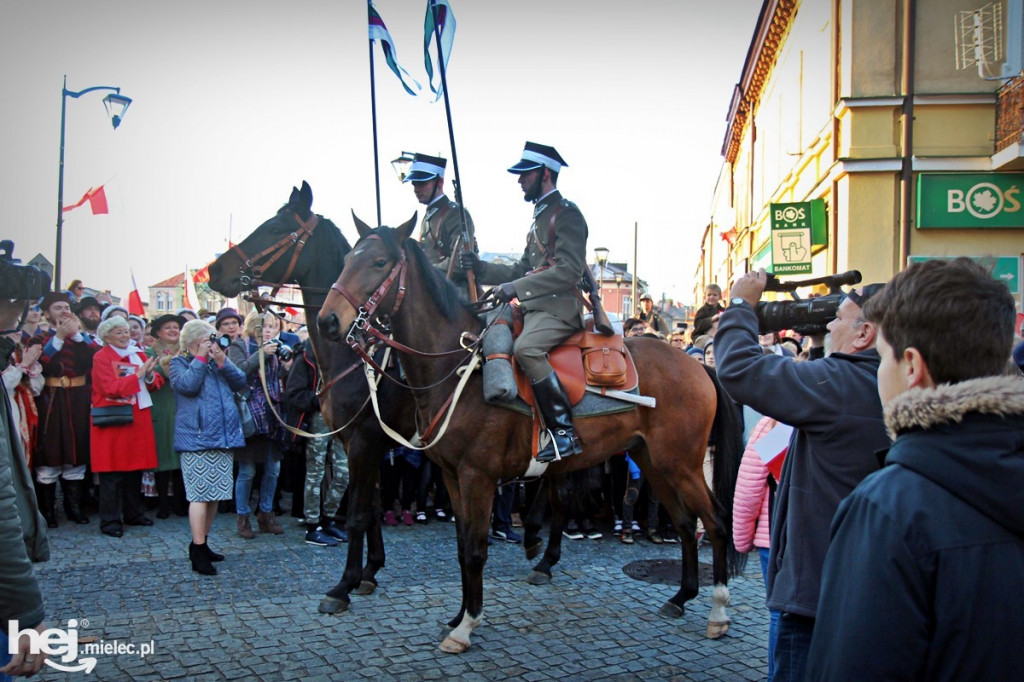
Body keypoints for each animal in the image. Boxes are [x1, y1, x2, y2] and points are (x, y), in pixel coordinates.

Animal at [205, 180, 413, 610]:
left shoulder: (364, 442)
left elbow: (358, 511)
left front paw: (346, 583)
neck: (354, 351)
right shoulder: (361, 443)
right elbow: (369, 506)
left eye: (274, 227)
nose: (215, 270)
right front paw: (370, 571)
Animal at [315, 215, 741, 651]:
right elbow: (460, 546)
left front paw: (465, 625)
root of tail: (699, 366)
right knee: (686, 523)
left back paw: (718, 612)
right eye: (347, 260)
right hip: (653, 462)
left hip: (682, 465)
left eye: (379, 262)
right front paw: (457, 616)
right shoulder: (449, 475)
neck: (456, 366)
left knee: (716, 522)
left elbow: (472, 548)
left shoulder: (473, 476)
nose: (327, 320)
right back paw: (680, 596)